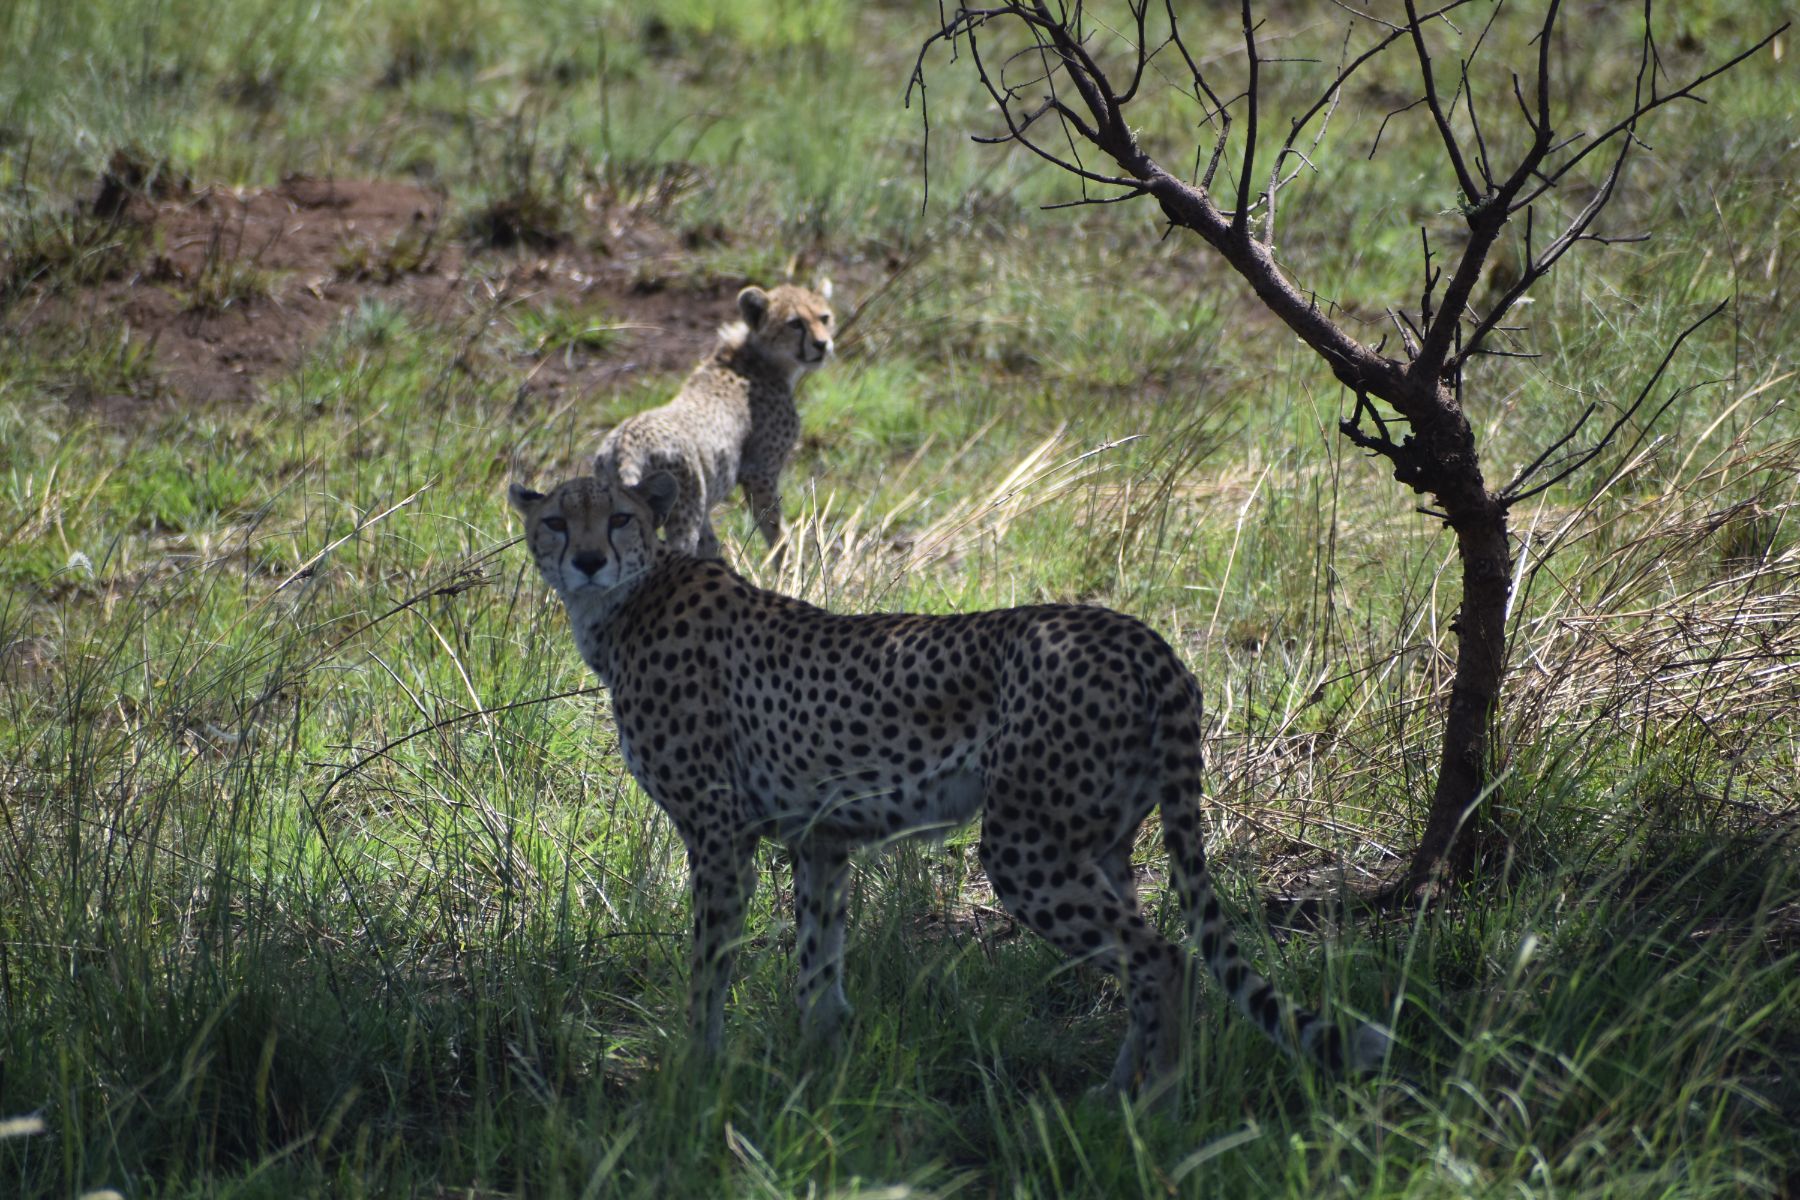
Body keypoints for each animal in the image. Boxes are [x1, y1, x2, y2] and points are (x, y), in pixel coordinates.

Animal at [508, 472, 1389, 1095]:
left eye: (620, 518)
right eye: (556, 521)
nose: (586, 559)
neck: (628, 603)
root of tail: (1139, 633)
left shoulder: (721, 834)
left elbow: (710, 964)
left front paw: (698, 1074)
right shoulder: (820, 839)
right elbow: (817, 968)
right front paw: (817, 1076)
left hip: (1026, 845)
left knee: (1164, 959)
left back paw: (1155, 1112)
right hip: (1102, 840)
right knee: (1154, 957)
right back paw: (1110, 1098)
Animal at [594, 280, 834, 566]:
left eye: (824, 318)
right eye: (795, 323)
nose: (822, 344)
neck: (759, 358)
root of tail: (624, 440)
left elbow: (710, 545)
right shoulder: (758, 472)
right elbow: (773, 527)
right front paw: (790, 568)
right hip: (682, 511)